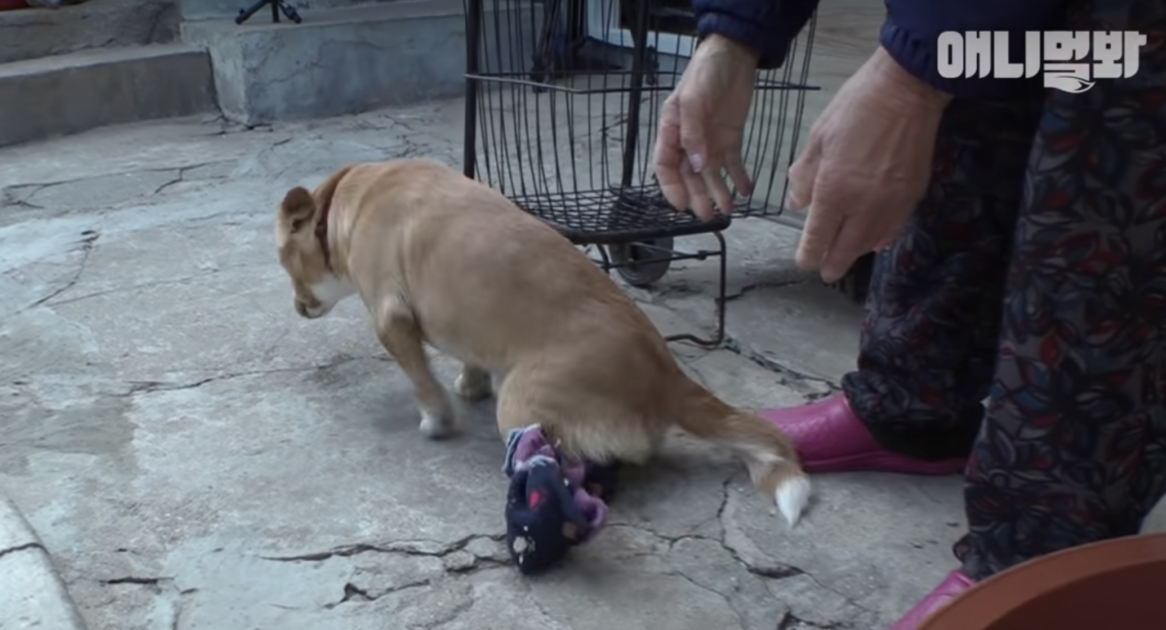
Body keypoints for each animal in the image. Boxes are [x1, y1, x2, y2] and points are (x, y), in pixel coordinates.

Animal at [275, 158, 811, 527]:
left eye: (285, 261)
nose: (296, 310)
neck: (348, 200)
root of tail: (666, 378)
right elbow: (469, 358)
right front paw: (469, 384)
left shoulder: (391, 320)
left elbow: (423, 384)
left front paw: (437, 419)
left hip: (518, 405)